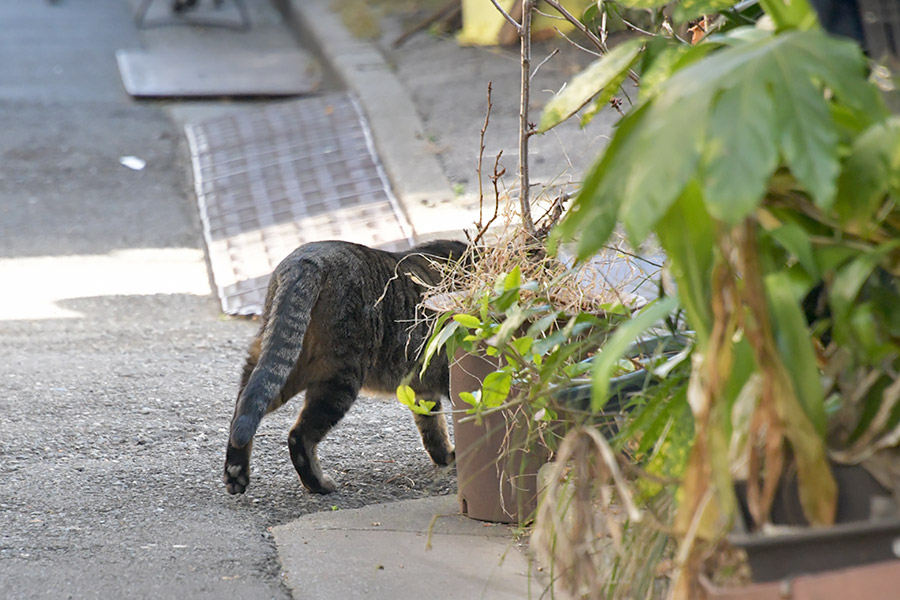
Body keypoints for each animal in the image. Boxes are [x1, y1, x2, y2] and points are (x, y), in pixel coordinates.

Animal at [224, 237, 468, 494]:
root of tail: (305, 262)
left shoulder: (422, 389)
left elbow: (432, 426)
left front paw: (445, 457)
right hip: (340, 377)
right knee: (298, 436)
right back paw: (319, 484)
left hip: (279, 364)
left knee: (244, 409)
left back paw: (236, 474)